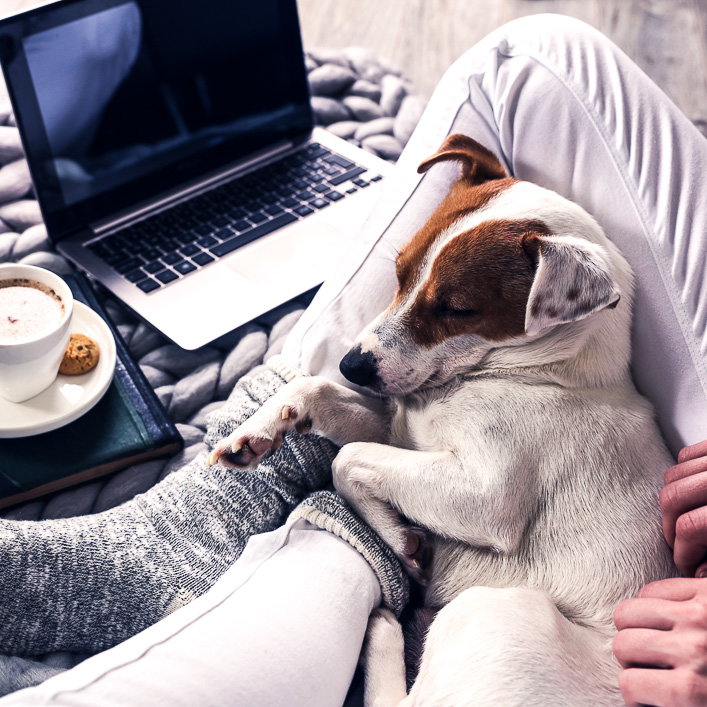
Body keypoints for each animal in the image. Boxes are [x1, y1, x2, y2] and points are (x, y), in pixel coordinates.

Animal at [207, 136, 676, 704]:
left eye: (457, 309)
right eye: (399, 272)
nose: (351, 365)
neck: (545, 371)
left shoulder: (486, 495)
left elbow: (348, 460)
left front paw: (397, 539)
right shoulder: (402, 432)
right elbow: (315, 394)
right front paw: (255, 433)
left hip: (491, 611)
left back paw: (382, 632)